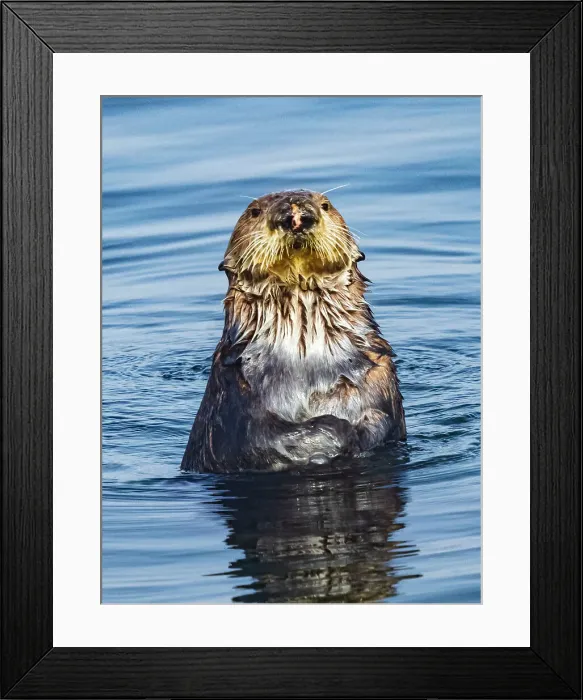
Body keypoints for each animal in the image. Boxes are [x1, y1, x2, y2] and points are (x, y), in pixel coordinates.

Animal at [181, 190, 405, 473]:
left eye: (326, 205)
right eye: (254, 211)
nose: (296, 214)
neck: (304, 354)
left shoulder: (380, 373)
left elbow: (385, 421)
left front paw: (367, 424)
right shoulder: (232, 396)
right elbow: (258, 441)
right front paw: (341, 429)